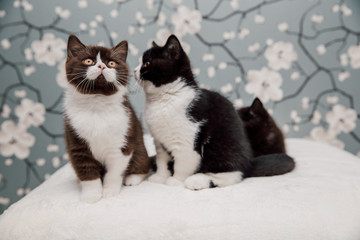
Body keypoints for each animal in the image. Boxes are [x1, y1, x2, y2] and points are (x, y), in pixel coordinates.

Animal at [63, 35, 150, 202]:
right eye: (88, 61)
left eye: (111, 63)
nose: (102, 66)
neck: (97, 102)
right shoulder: (76, 140)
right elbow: (86, 169)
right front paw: (91, 196)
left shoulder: (123, 136)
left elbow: (115, 171)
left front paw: (109, 191)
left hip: (140, 147)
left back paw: (133, 178)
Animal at [134, 34, 294, 190]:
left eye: (146, 64)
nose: (135, 70)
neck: (164, 99)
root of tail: (250, 162)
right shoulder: (159, 141)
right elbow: (162, 161)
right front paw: (160, 178)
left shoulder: (186, 141)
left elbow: (183, 164)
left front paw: (175, 181)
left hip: (222, 152)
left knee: (232, 175)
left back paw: (197, 181)